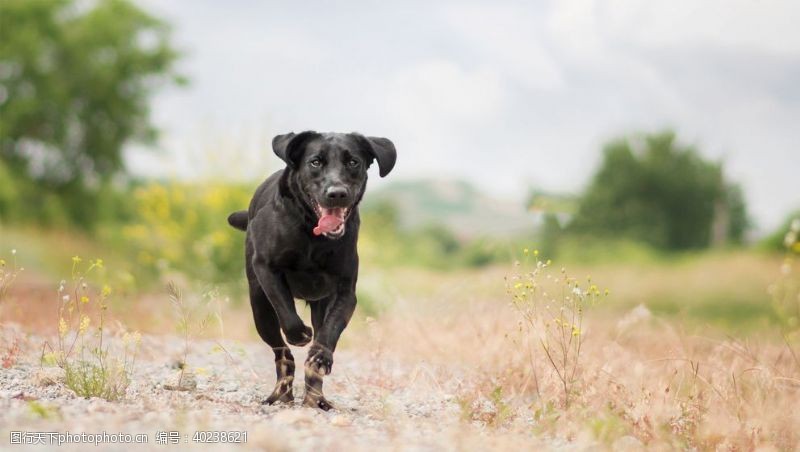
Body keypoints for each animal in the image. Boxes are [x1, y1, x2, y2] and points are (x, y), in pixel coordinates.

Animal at [227, 131, 396, 410]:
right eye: (315, 162)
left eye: (353, 162)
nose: (337, 193)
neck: (313, 235)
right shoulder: (267, 269)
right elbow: (288, 315)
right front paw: (301, 335)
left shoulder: (345, 293)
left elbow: (329, 332)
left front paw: (320, 356)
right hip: (260, 309)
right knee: (281, 351)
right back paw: (281, 393)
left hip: (318, 305)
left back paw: (316, 398)